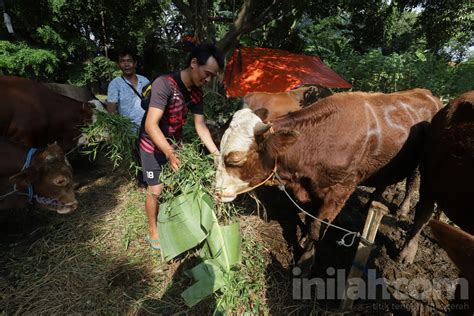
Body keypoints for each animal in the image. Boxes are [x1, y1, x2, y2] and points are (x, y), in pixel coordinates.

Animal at [215, 88, 440, 274]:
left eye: (235, 159)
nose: (217, 192)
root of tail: (428, 94)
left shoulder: (340, 191)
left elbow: (317, 228)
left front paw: (306, 261)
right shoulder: (311, 186)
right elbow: (309, 218)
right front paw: (303, 237)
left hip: (420, 166)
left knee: (413, 185)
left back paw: (402, 211)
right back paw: (370, 202)